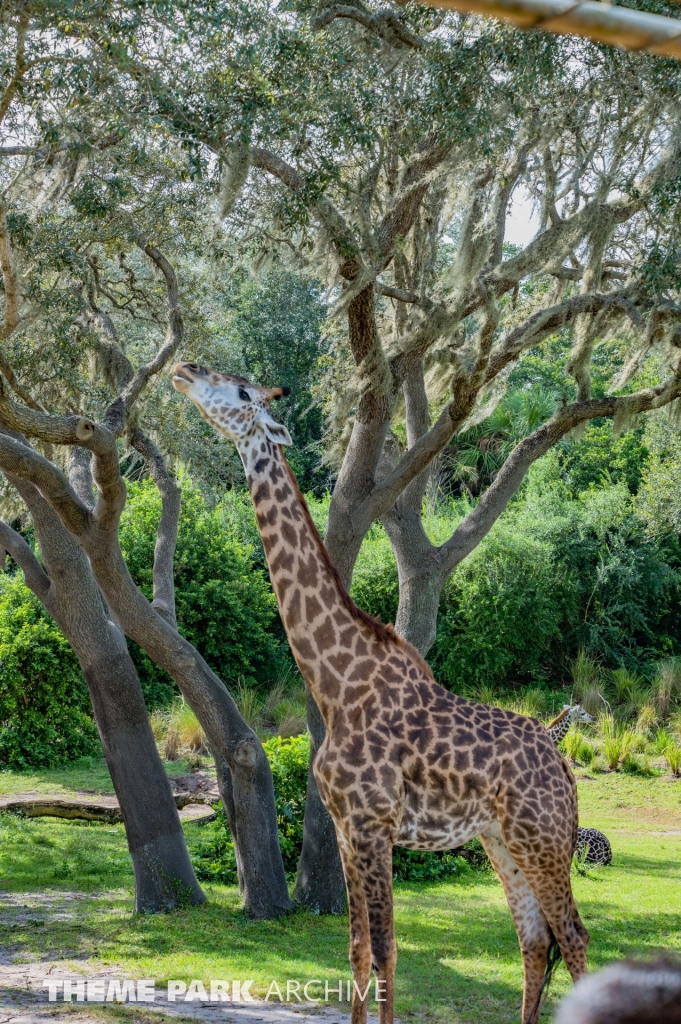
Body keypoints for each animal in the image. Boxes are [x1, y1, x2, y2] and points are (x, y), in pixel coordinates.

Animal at [171, 362, 589, 1024]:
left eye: (241, 391)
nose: (186, 370)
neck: (337, 683)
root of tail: (563, 762)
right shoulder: (346, 829)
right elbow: (359, 949)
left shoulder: (374, 824)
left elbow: (389, 949)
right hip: (502, 840)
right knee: (533, 939)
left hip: (543, 839)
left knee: (572, 937)